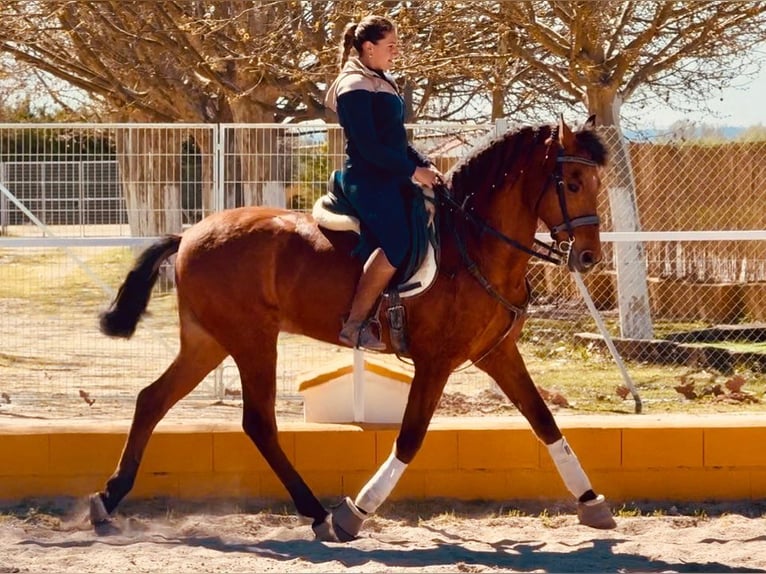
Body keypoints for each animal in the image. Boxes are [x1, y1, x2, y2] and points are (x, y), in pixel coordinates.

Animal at [89, 115, 615, 541]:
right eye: (571, 183)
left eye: (595, 181)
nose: (590, 256)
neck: (473, 243)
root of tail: (190, 233)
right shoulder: (436, 361)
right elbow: (410, 438)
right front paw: (354, 513)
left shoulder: (497, 354)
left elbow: (544, 421)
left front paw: (592, 503)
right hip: (251, 340)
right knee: (257, 422)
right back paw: (317, 513)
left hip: (209, 341)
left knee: (152, 400)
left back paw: (108, 500)